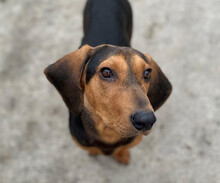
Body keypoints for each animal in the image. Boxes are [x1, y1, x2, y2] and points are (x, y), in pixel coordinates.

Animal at [44, 0, 172, 164]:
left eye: (147, 73)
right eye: (106, 72)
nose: (147, 120)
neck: (108, 133)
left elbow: (122, 148)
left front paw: (121, 154)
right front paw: (94, 151)